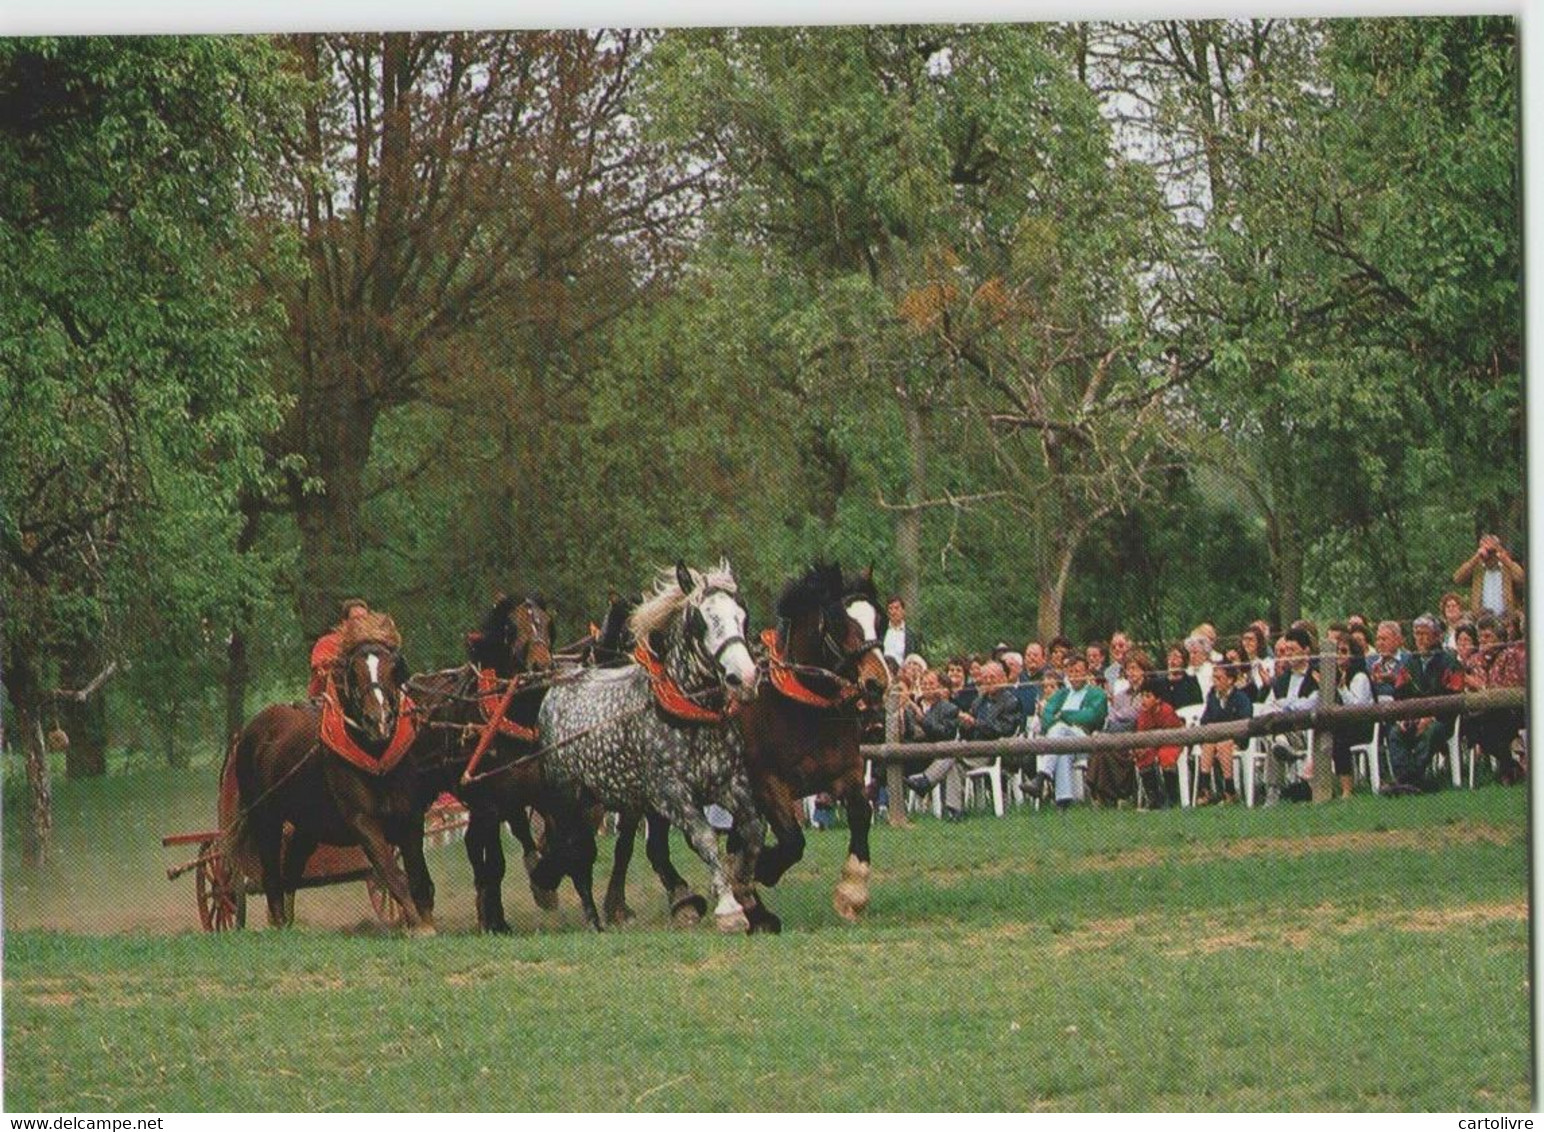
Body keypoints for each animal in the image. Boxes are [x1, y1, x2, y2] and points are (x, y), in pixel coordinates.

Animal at [225, 614, 429, 932]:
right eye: (354, 671)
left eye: (392, 668)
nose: (378, 719)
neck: (377, 758)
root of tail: (249, 732)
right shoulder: (362, 820)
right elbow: (390, 871)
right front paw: (417, 925)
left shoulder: (409, 815)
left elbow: (417, 871)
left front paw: (425, 921)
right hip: (265, 817)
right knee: (272, 874)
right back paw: (279, 924)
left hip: (306, 826)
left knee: (290, 871)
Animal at [407, 596, 558, 932]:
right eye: (512, 629)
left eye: (545, 623)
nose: (542, 667)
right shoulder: (489, 802)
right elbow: (495, 864)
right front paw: (495, 920)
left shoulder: (534, 792)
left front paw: (543, 888)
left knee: (481, 844)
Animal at [531, 562, 772, 932]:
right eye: (701, 620)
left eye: (742, 617)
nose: (743, 678)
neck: (687, 714)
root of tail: (558, 687)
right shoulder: (670, 794)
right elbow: (704, 837)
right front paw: (728, 908)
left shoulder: (730, 783)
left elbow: (754, 830)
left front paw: (743, 887)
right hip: (569, 798)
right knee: (577, 853)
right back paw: (594, 921)